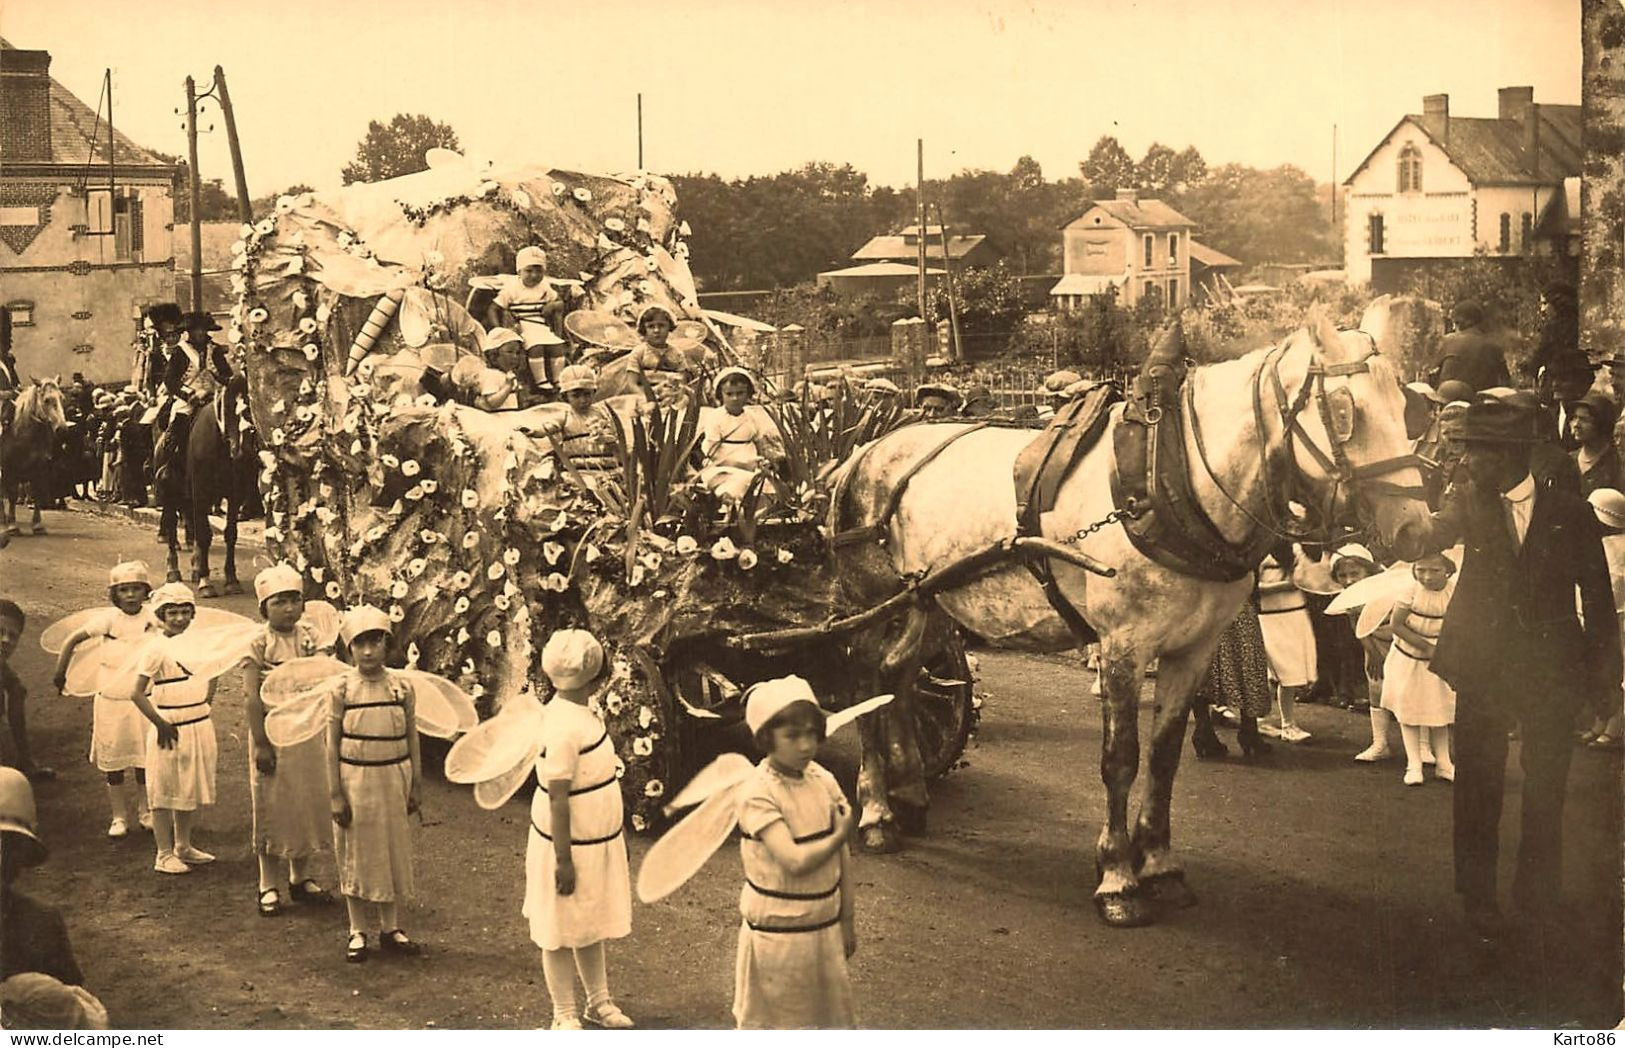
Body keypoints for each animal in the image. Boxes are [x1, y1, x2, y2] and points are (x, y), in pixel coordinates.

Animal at [0, 378, 69, 536]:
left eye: (62, 398)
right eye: (47, 400)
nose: (62, 429)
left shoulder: (40, 469)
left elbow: (37, 493)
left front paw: (37, 525)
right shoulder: (9, 469)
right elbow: (12, 495)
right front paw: (12, 526)